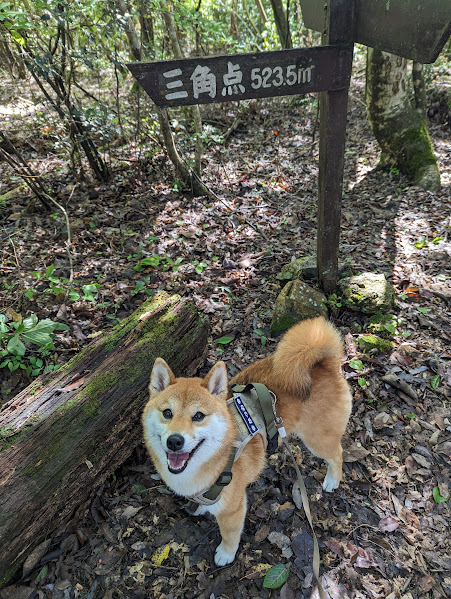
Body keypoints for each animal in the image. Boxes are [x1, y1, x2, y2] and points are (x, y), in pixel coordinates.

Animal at [141, 318, 354, 568]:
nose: (175, 441)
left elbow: (229, 535)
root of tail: (323, 365)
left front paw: (225, 554)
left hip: (317, 440)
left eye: (198, 416)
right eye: (167, 413)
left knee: (337, 454)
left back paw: (332, 479)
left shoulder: (232, 509)